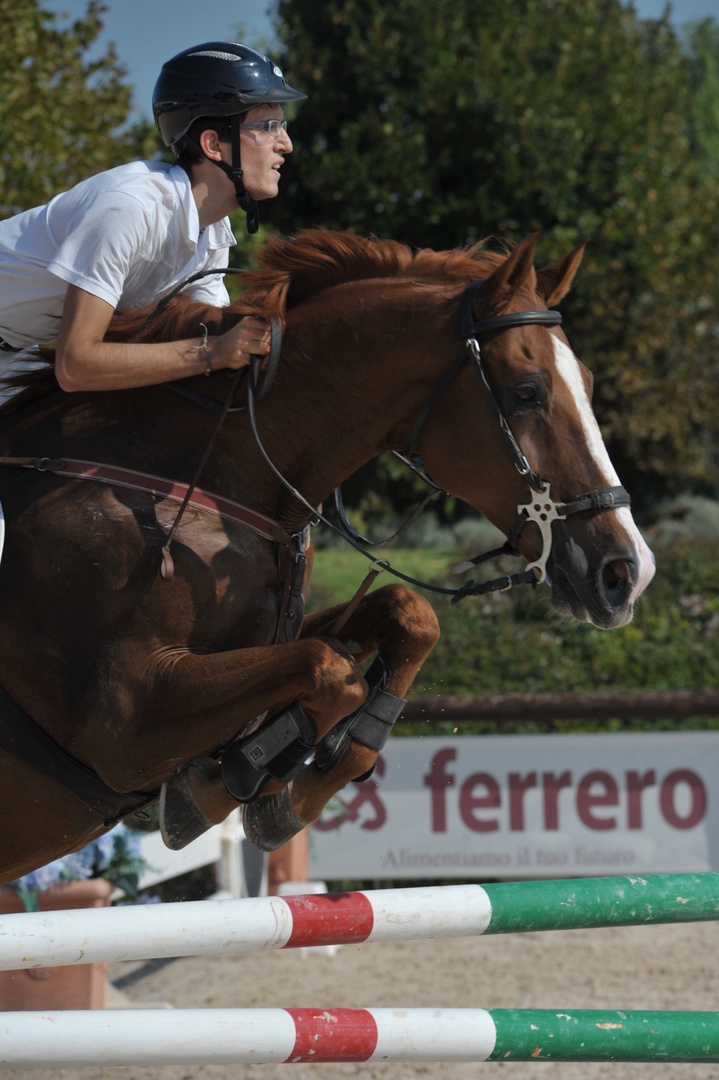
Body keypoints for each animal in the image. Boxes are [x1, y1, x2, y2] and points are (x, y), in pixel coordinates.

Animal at [0, 232, 652, 881]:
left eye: (589, 382)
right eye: (527, 392)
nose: (628, 573)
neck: (182, 479)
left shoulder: (267, 642)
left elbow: (406, 618)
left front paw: (287, 789)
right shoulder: (124, 723)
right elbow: (329, 670)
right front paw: (224, 787)